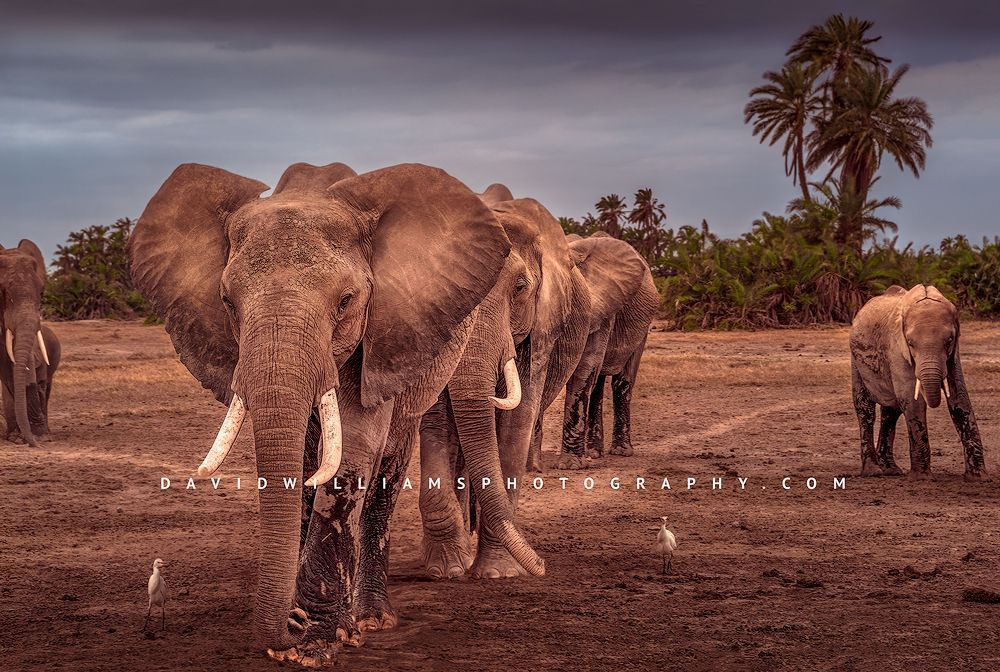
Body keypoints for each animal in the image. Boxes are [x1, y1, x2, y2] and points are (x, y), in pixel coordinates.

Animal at [128, 161, 544, 665]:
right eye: (227, 301)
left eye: (345, 301)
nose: (291, 622)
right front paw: (302, 634)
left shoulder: (383, 335)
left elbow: (354, 453)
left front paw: (313, 643)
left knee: (387, 470)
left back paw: (371, 620)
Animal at [419, 186, 593, 579]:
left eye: (519, 287)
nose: (543, 566)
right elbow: (436, 420)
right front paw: (445, 570)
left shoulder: (544, 325)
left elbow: (517, 423)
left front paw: (498, 573)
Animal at [555, 232, 658, 466]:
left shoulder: (603, 308)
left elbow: (585, 366)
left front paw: (570, 465)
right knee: (598, 384)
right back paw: (595, 453)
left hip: (642, 328)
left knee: (622, 382)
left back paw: (620, 451)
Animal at [850, 284, 986, 481]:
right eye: (911, 343)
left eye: (949, 341)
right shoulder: (896, 349)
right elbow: (913, 401)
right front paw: (922, 478)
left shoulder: (954, 353)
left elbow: (960, 398)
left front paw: (978, 478)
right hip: (856, 361)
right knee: (865, 409)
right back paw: (873, 472)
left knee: (891, 411)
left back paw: (891, 470)